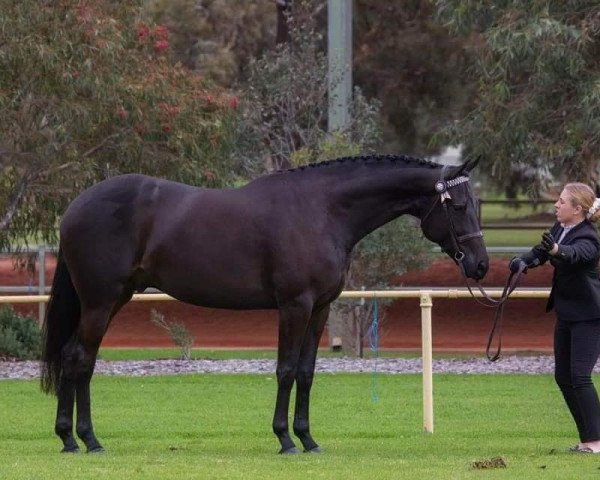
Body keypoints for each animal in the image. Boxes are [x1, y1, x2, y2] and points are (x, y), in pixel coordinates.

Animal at [39, 154, 488, 454]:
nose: (480, 265)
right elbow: (286, 370)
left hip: (113, 299)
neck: (322, 210)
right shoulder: (294, 306)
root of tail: (74, 208)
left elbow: (306, 372)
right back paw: (84, 439)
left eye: (477, 205)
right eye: (459, 206)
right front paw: (285, 439)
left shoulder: (320, 308)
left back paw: (74, 438)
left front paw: (308, 438)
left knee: (76, 358)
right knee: (80, 359)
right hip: (100, 302)